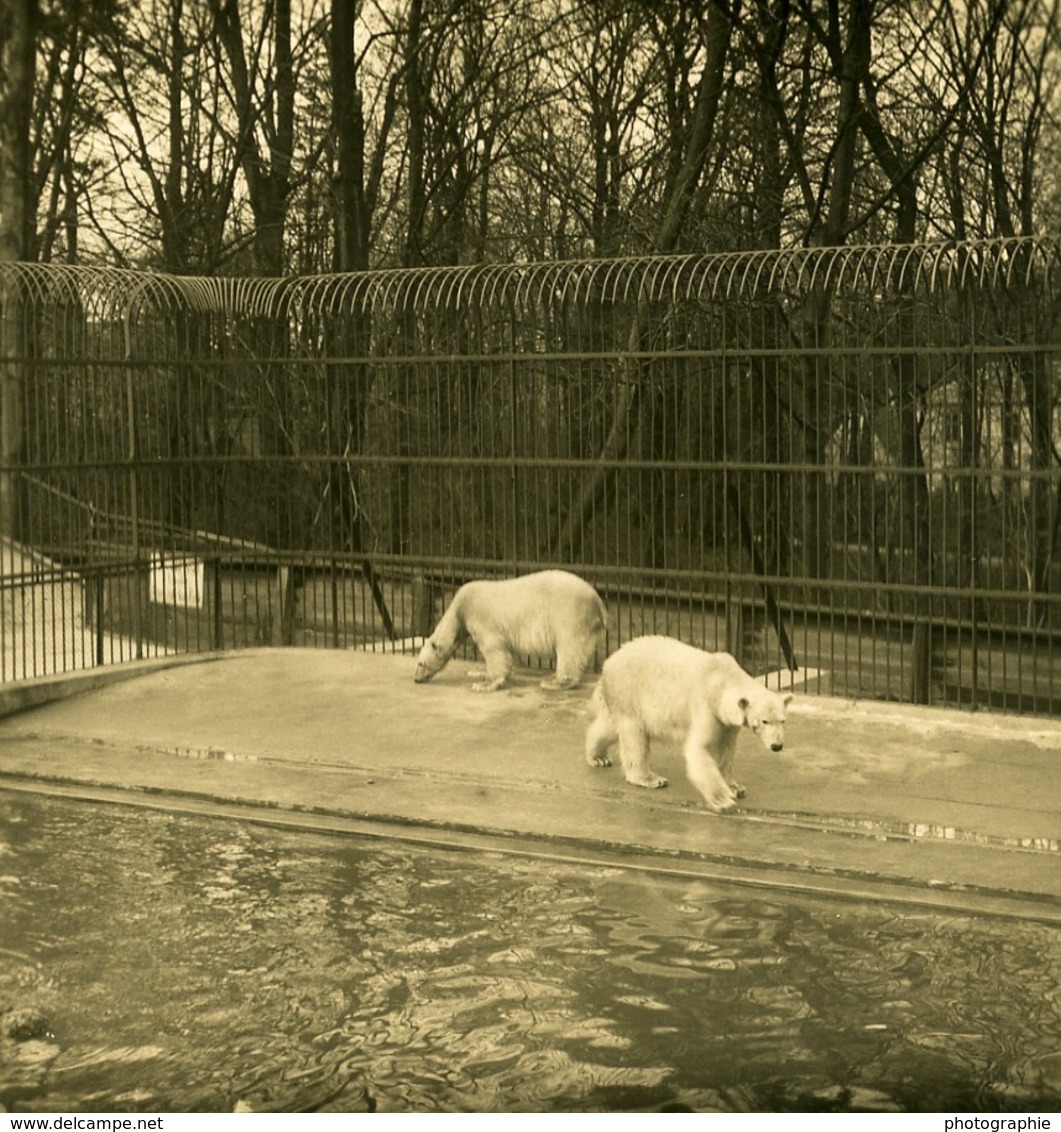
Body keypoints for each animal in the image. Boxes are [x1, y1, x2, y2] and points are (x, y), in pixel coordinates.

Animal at [418, 570, 606, 692]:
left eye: (420, 663)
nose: (416, 679)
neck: (460, 609)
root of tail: (597, 599)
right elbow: (507, 654)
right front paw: (479, 674)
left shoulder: (482, 618)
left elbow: (493, 648)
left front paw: (485, 685)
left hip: (570, 614)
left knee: (569, 648)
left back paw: (554, 682)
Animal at [584, 638, 792, 815]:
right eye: (764, 721)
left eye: (782, 720)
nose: (777, 746)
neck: (723, 679)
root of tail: (608, 662)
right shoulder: (706, 707)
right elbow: (698, 750)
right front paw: (723, 799)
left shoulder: (728, 722)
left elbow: (726, 750)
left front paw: (736, 787)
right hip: (629, 692)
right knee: (635, 735)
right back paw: (650, 778)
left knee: (611, 727)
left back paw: (599, 757)